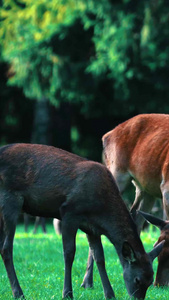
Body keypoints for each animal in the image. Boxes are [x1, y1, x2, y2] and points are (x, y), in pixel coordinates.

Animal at [0, 142, 164, 298]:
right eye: (137, 280)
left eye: (150, 281)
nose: (137, 298)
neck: (102, 211)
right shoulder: (69, 212)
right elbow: (69, 252)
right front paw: (67, 293)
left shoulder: (92, 228)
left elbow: (99, 257)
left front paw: (109, 294)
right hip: (10, 199)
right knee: (6, 248)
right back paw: (18, 293)